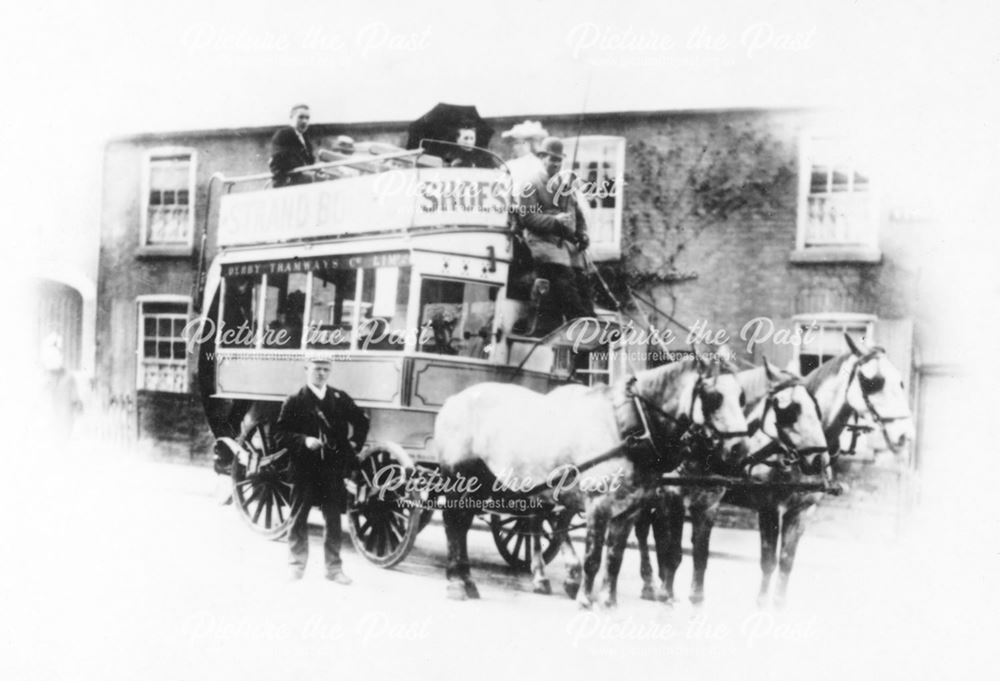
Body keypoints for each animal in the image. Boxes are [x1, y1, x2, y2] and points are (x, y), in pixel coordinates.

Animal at [434, 356, 748, 604]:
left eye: (742, 397)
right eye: (713, 397)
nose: (740, 449)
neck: (628, 425)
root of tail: (455, 400)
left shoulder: (630, 509)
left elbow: (615, 558)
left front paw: (608, 603)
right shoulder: (600, 503)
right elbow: (595, 557)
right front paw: (586, 599)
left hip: (487, 480)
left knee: (469, 522)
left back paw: (469, 580)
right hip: (461, 476)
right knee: (454, 522)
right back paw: (457, 583)